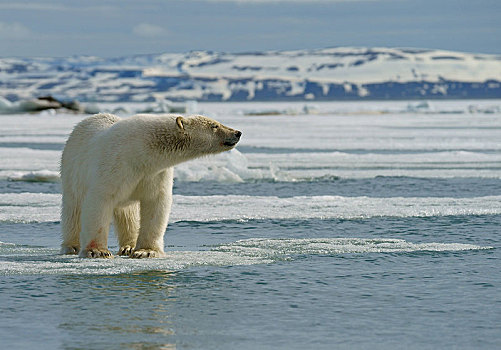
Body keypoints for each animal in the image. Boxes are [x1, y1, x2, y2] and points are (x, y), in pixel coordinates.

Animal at [60, 113, 240, 258]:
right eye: (214, 125)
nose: (237, 133)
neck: (140, 152)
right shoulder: (113, 165)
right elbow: (99, 202)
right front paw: (97, 251)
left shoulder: (155, 173)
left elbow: (156, 204)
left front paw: (146, 251)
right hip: (71, 170)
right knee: (73, 209)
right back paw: (71, 246)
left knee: (128, 215)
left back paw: (128, 247)